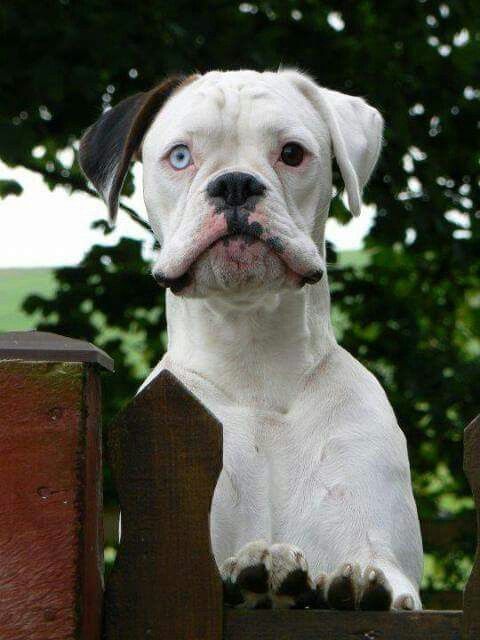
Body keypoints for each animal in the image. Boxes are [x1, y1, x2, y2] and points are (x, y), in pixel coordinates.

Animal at [79, 69, 424, 608]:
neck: (256, 363)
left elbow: (381, 572)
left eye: (292, 153)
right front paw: (258, 572)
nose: (236, 183)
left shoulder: (380, 545)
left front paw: (360, 586)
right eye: (181, 156)